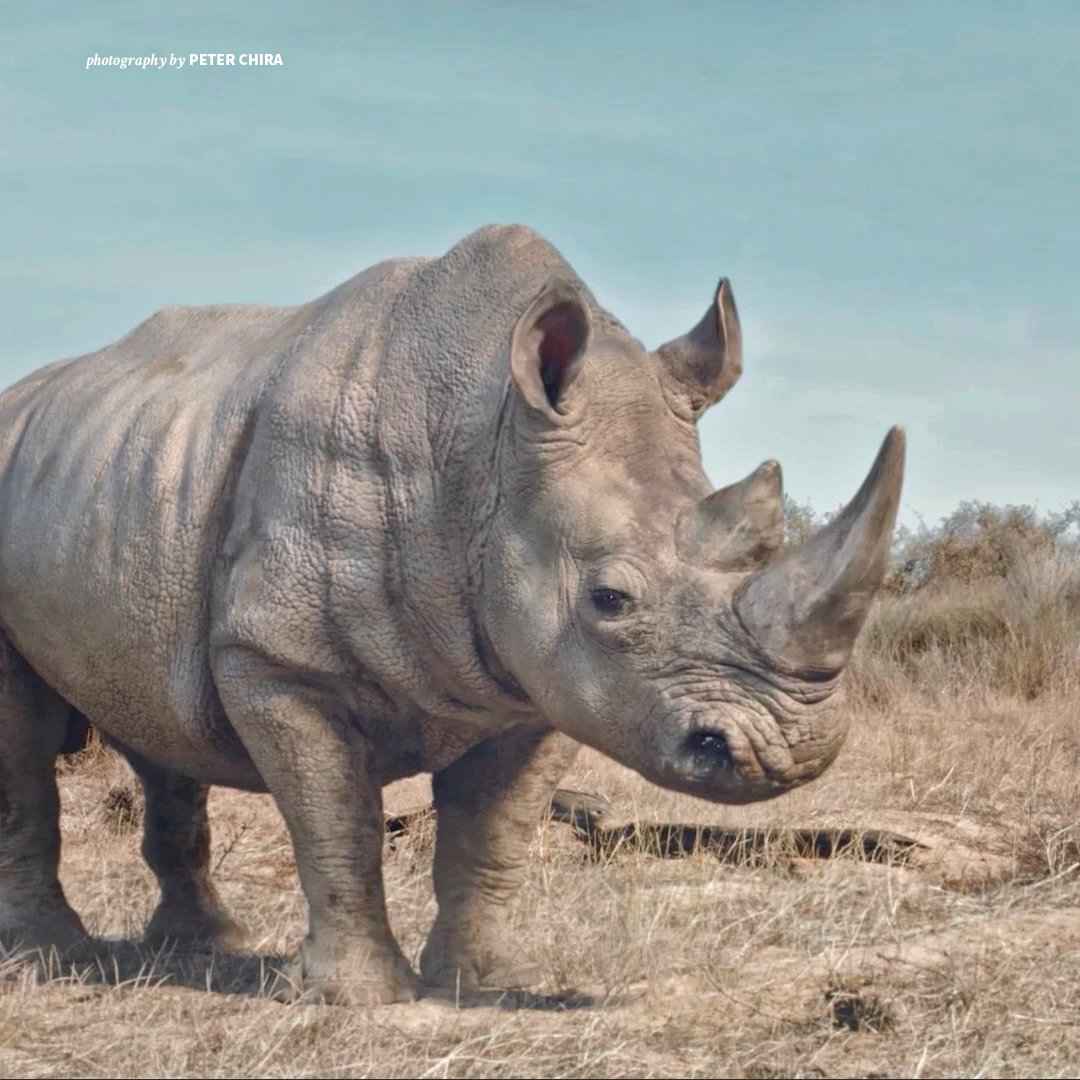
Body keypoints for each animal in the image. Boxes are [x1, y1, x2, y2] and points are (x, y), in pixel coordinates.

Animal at [0, 225, 904, 1005]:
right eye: (610, 599)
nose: (795, 750)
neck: (483, 449)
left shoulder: (542, 682)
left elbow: (493, 835)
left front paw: (487, 984)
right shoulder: (277, 661)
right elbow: (337, 823)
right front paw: (361, 998)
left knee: (157, 720)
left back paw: (205, 945)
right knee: (30, 742)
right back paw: (53, 958)